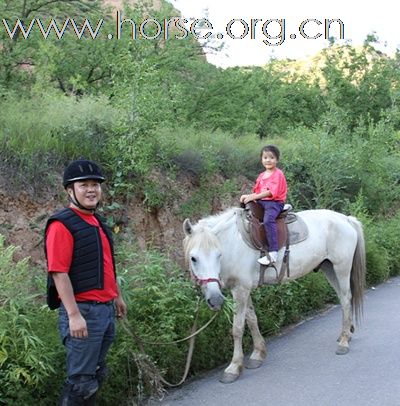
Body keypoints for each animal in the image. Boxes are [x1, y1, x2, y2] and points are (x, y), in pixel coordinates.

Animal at [184, 209, 366, 384]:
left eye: (218, 255)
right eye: (193, 258)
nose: (215, 300)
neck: (232, 243)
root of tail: (346, 219)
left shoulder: (240, 289)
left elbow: (237, 328)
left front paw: (234, 368)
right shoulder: (244, 289)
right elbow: (252, 320)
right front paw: (258, 354)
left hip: (341, 268)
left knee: (345, 298)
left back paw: (344, 342)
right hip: (329, 268)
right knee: (342, 298)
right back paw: (346, 333)